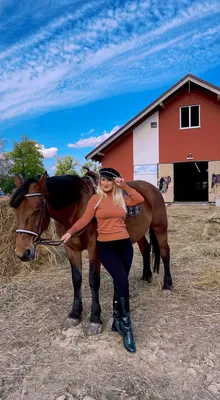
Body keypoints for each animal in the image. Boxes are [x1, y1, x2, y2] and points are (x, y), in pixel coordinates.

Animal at [9, 170, 172, 336]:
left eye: (36, 209)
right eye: (15, 210)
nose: (22, 252)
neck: (76, 209)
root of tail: (152, 188)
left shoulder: (95, 248)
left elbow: (93, 280)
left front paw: (95, 318)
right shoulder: (71, 248)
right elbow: (76, 279)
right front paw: (75, 314)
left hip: (159, 227)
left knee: (165, 252)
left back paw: (167, 285)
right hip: (138, 232)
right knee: (145, 248)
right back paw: (146, 276)